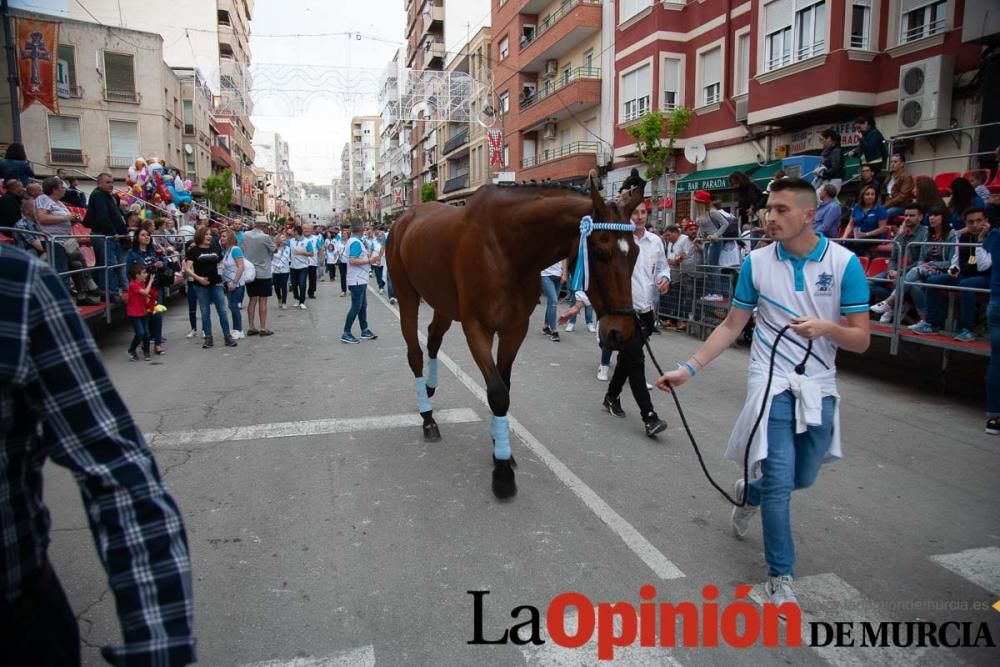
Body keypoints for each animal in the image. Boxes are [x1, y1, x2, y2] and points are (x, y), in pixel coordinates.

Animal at [382, 175, 640, 498]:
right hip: (408, 296)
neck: (507, 247)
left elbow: (504, 386)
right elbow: (497, 393)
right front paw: (502, 470)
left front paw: (498, 442)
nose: (621, 332)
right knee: (415, 353)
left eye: (637, 254)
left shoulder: (515, 328)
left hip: (443, 303)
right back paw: (427, 417)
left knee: (432, 339)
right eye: (601, 254)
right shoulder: (476, 327)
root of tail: (404, 218)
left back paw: (430, 388)